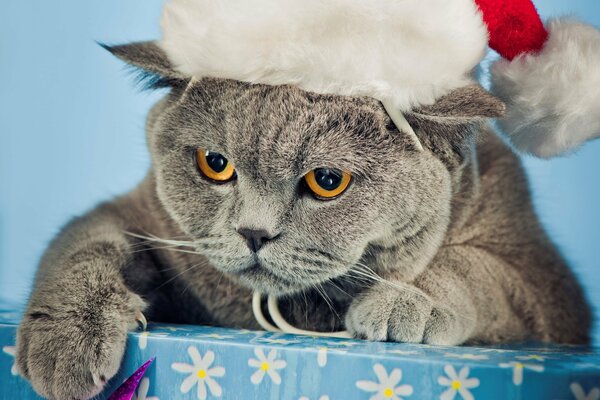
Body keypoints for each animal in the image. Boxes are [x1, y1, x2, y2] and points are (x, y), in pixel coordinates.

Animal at [14, 42, 592, 398]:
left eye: (327, 180)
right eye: (214, 163)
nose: (253, 232)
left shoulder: (545, 286)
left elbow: (480, 270)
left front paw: (406, 300)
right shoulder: (140, 215)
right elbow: (88, 243)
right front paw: (64, 339)